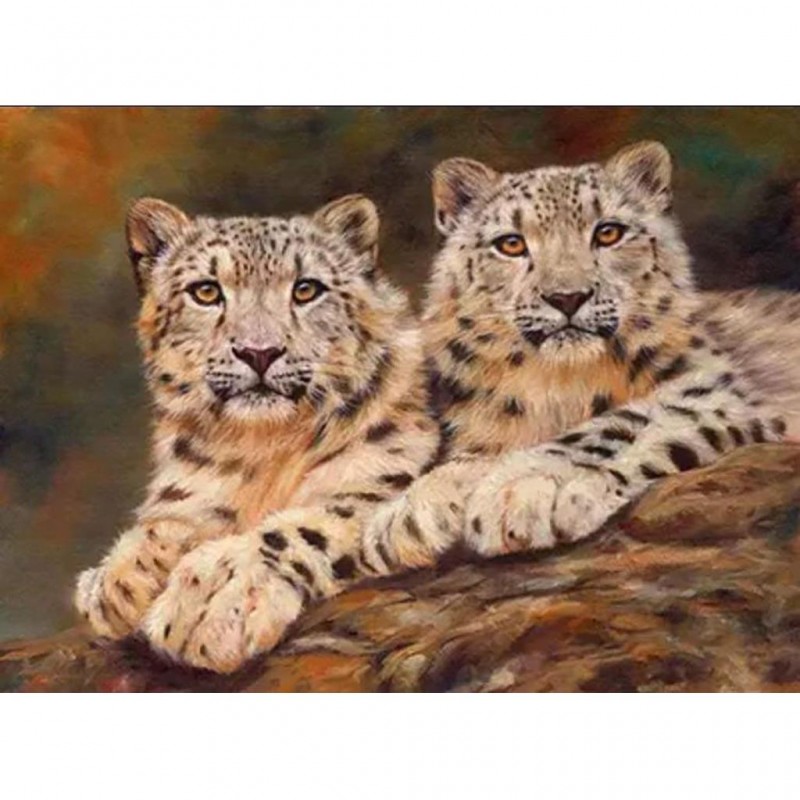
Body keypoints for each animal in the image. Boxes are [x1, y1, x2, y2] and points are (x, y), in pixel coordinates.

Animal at [74, 193, 440, 673]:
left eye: (306, 289)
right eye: (206, 291)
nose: (259, 352)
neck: (265, 450)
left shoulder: (383, 476)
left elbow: (315, 520)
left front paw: (211, 601)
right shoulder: (194, 490)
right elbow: (175, 515)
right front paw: (117, 581)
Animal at [360, 140, 800, 571]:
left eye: (608, 232)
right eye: (511, 243)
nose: (567, 297)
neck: (558, 387)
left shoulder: (715, 389)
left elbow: (618, 423)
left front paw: (524, 489)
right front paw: (408, 514)